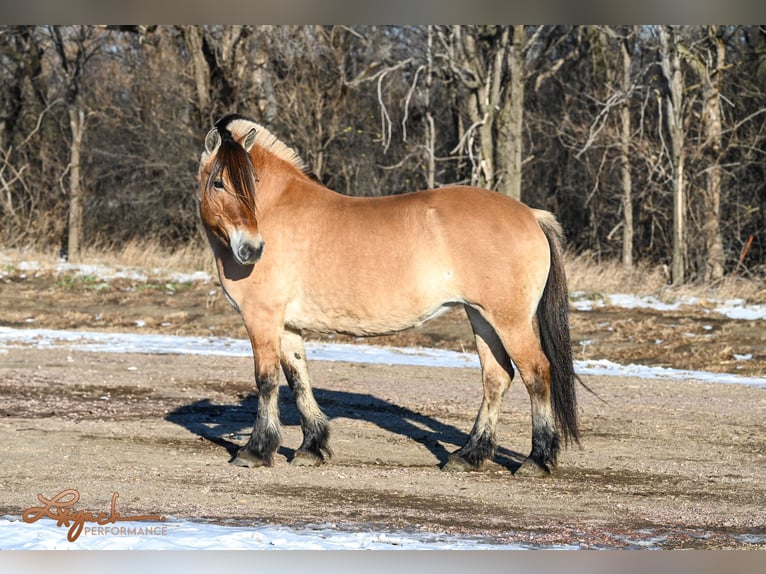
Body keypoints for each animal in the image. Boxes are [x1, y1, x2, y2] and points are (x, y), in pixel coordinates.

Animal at [198, 112, 584, 476]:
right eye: (218, 182)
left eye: (251, 184)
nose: (251, 249)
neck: (276, 210)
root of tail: (531, 214)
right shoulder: (288, 325)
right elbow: (298, 379)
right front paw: (311, 448)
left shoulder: (261, 318)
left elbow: (266, 381)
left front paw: (255, 451)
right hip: (481, 317)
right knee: (496, 377)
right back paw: (469, 455)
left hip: (509, 320)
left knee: (537, 373)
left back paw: (537, 459)